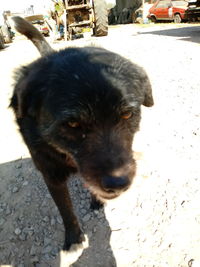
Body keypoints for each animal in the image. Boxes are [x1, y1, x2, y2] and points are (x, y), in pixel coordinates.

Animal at [10, 17, 154, 253]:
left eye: (126, 114)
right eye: (72, 123)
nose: (118, 183)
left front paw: (96, 200)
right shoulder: (51, 174)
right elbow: (65, 209)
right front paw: (74, 237)